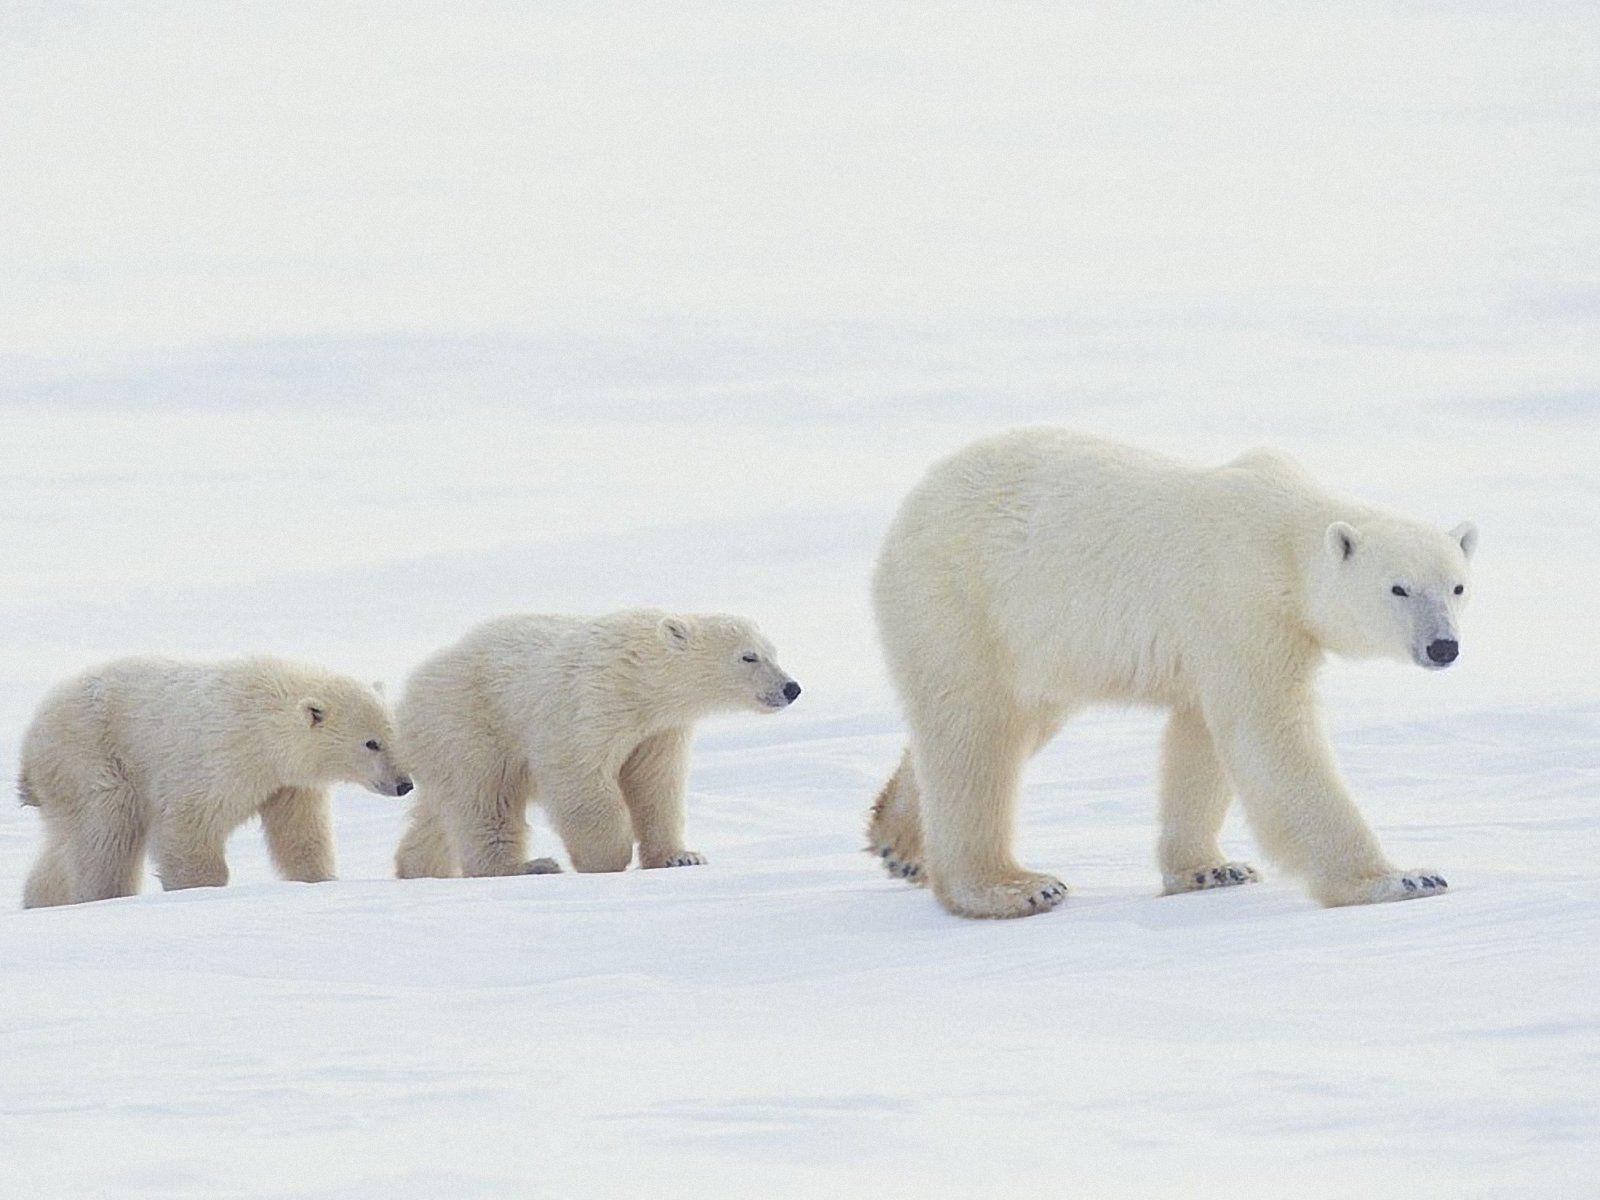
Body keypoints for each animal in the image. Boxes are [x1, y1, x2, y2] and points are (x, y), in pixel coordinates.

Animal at [20, 656, 411, 908]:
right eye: (371, 742)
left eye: (394, 734)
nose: (404, 783)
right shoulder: (217, 758)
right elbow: (188, 825)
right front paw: (198, 888)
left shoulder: (287, 783)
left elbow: (300, 832)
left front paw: (321, 879)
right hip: (92, 753)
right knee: (107, 828)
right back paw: (103, 894)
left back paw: (41, 899)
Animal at [393, 610, 801, 879]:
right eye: (748, 656)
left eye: (774, 652)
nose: (791, 687)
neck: (637, 678)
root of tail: (411, 689)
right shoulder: (589, 705)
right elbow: (580, 778)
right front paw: (607, 857)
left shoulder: (659, 732)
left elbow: (656, 786)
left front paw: (681, 857)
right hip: (471, 722)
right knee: (486, 797)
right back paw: (526, 866)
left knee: (439, 812)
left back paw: (418, 867)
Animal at [867, 428, 1478, 919]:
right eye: (1398, 588)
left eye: (1457, 585)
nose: (1443, 646)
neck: (1284, 538)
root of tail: (910, 506)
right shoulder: (1242, 603)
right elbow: (1271, 736)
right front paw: (1403, 878)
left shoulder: (1219, 636)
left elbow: (1202, 738)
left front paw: (1210, 869)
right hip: (964, 599)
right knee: (976, 733)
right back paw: (1014, 886)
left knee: (1016, 721)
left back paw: (900, 841)